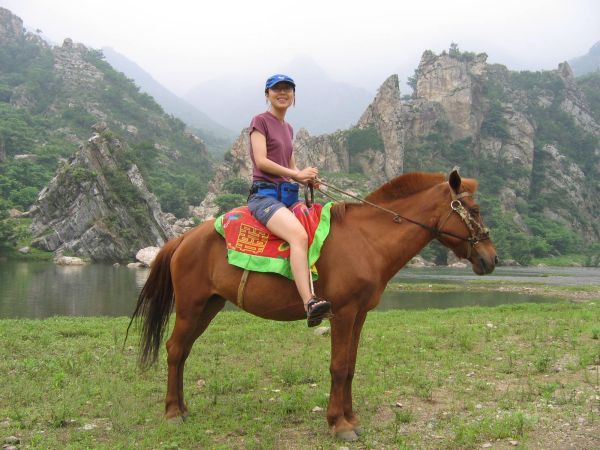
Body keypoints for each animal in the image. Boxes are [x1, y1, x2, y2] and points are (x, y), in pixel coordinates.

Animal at [129, 170, 497, 441]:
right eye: (474, 211)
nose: (492, 259)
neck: (366, 240)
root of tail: (183, 238)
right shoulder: (342, 314)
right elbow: (338, 367)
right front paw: (339, 424)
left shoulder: (359, 316)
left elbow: (350, 366)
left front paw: (351, 417)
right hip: (191, 306)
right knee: (175, 350)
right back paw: (173, 412)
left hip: (208, 306)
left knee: (182, 351)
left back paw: (182, 408)